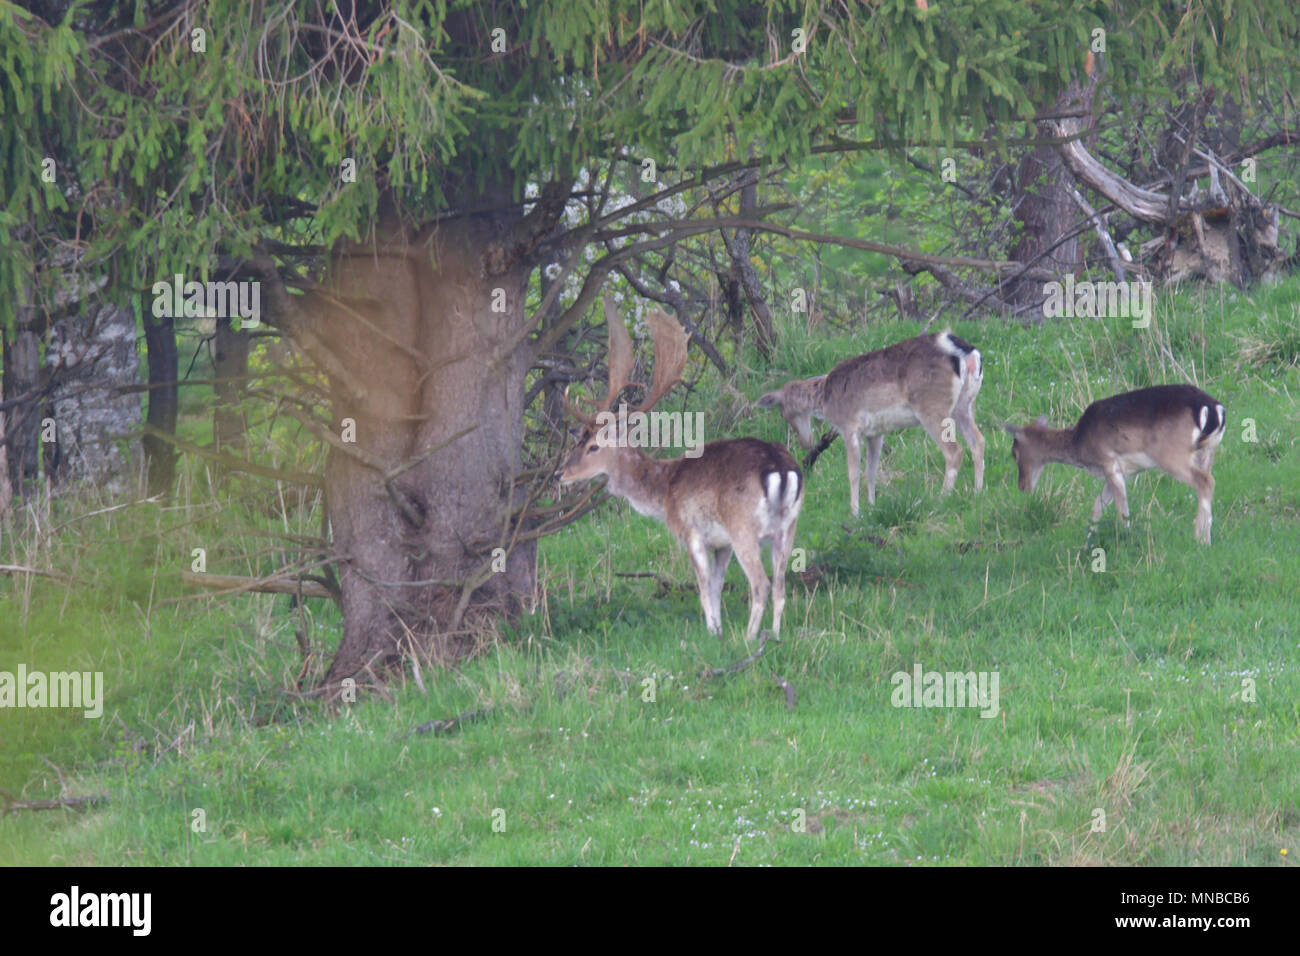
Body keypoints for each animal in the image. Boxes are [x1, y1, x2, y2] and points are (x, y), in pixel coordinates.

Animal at [557, 297, 803, 642]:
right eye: (578, 440)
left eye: (592, 446)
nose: (561, 474)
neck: (663, 493)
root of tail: (781, 470)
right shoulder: (722, 543)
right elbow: (716, 586)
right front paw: (718, 629)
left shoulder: (690, 532)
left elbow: (703, 588)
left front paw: (713, 633)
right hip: (788, 527)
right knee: (780, 584)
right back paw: (775, 636)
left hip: (743, 527)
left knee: (762, 584)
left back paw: (748, 639)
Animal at [757, 332, 985, 517]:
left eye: (784, 413)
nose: (805, 443)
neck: (826, 399)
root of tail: (966, 353)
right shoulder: (875, 433)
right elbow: (871, 471)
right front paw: (872, 507)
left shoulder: (849, 427)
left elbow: (853, 473)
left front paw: (854, 513)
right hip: (965, 405)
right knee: (978, 442)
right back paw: (977, 492)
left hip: (932, 408)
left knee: (954, 451)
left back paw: (942, 498)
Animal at [1004, 384, 1226, 543]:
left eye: (1014, 453)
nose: (1022, 486)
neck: (1081, 443)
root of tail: (1214, 409)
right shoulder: (1121, 471)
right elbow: (1098, 504)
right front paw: (1089, 538)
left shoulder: (1108, 462)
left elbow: (1122, 509)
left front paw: (1124, 538)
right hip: (1207, 452)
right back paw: (1205, 536)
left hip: (1172, 455)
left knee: (1205, 481)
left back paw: (1201, 539)